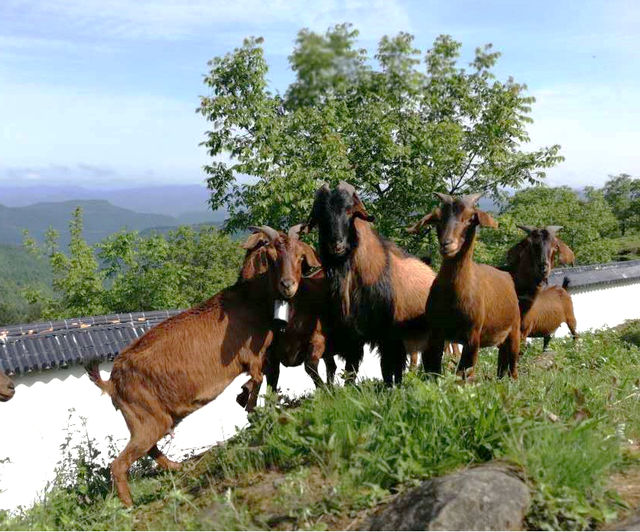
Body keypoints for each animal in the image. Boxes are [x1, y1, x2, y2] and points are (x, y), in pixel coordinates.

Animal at [85, 225, 318, 508]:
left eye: (299, 255)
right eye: (272, 257)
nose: (288, 285)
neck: (249, 299)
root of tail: (111, 382)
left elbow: (259, 379)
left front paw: (245, 400)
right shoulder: (251, 356)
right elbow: (257, 378)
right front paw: (248, 404)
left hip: (149, 420)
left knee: (150, 450)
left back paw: (178, 467)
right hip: (147, 420)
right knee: (120, 464)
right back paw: (130, 506)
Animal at [304, 181, 436, 384]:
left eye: (349, 211)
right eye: (322, 214)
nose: (337, 245)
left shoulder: (388, 335)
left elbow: (388, 368)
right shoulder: (353, 336)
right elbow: (351, 371)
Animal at [410, 193, 520, 380]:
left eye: (470, 219)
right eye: (438, 219)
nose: (447, 244)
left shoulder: (472, 336)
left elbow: (463, 373)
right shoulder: (436, 333)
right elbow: (433, 371)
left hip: (514, 330)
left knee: (513, 368)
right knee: (501, 364)